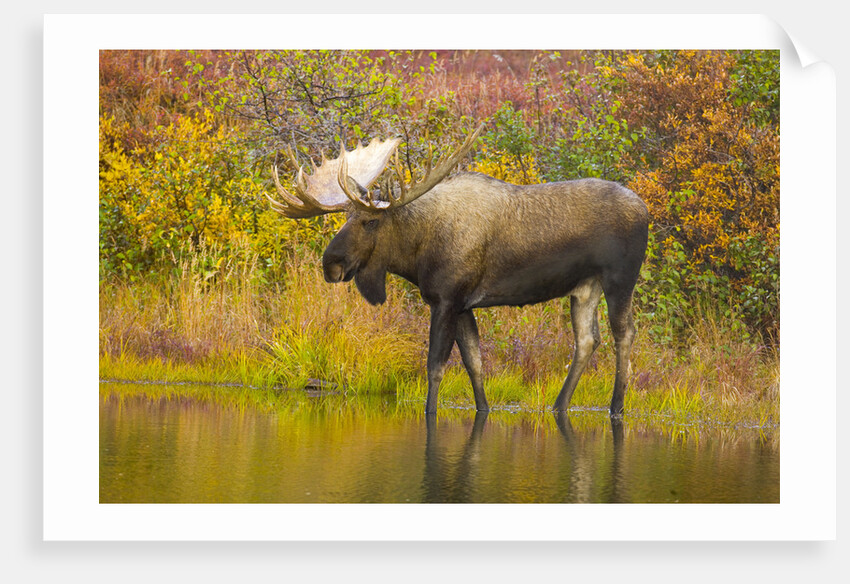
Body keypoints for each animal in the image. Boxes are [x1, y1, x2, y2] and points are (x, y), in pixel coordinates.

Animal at [267, 125, 649, 415]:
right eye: (346, 216)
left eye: (370, 220)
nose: (331, 264)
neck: (416, 254)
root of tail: (646, 210)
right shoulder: (464, 305)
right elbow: (474, 363)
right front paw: (483, 408)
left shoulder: (446, 300)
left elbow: (435, 367)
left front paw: (430, 412)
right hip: (584, 288)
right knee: (587, 339)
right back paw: (559, 405)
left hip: (620, 279)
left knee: (624, 333)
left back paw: (616, 407)